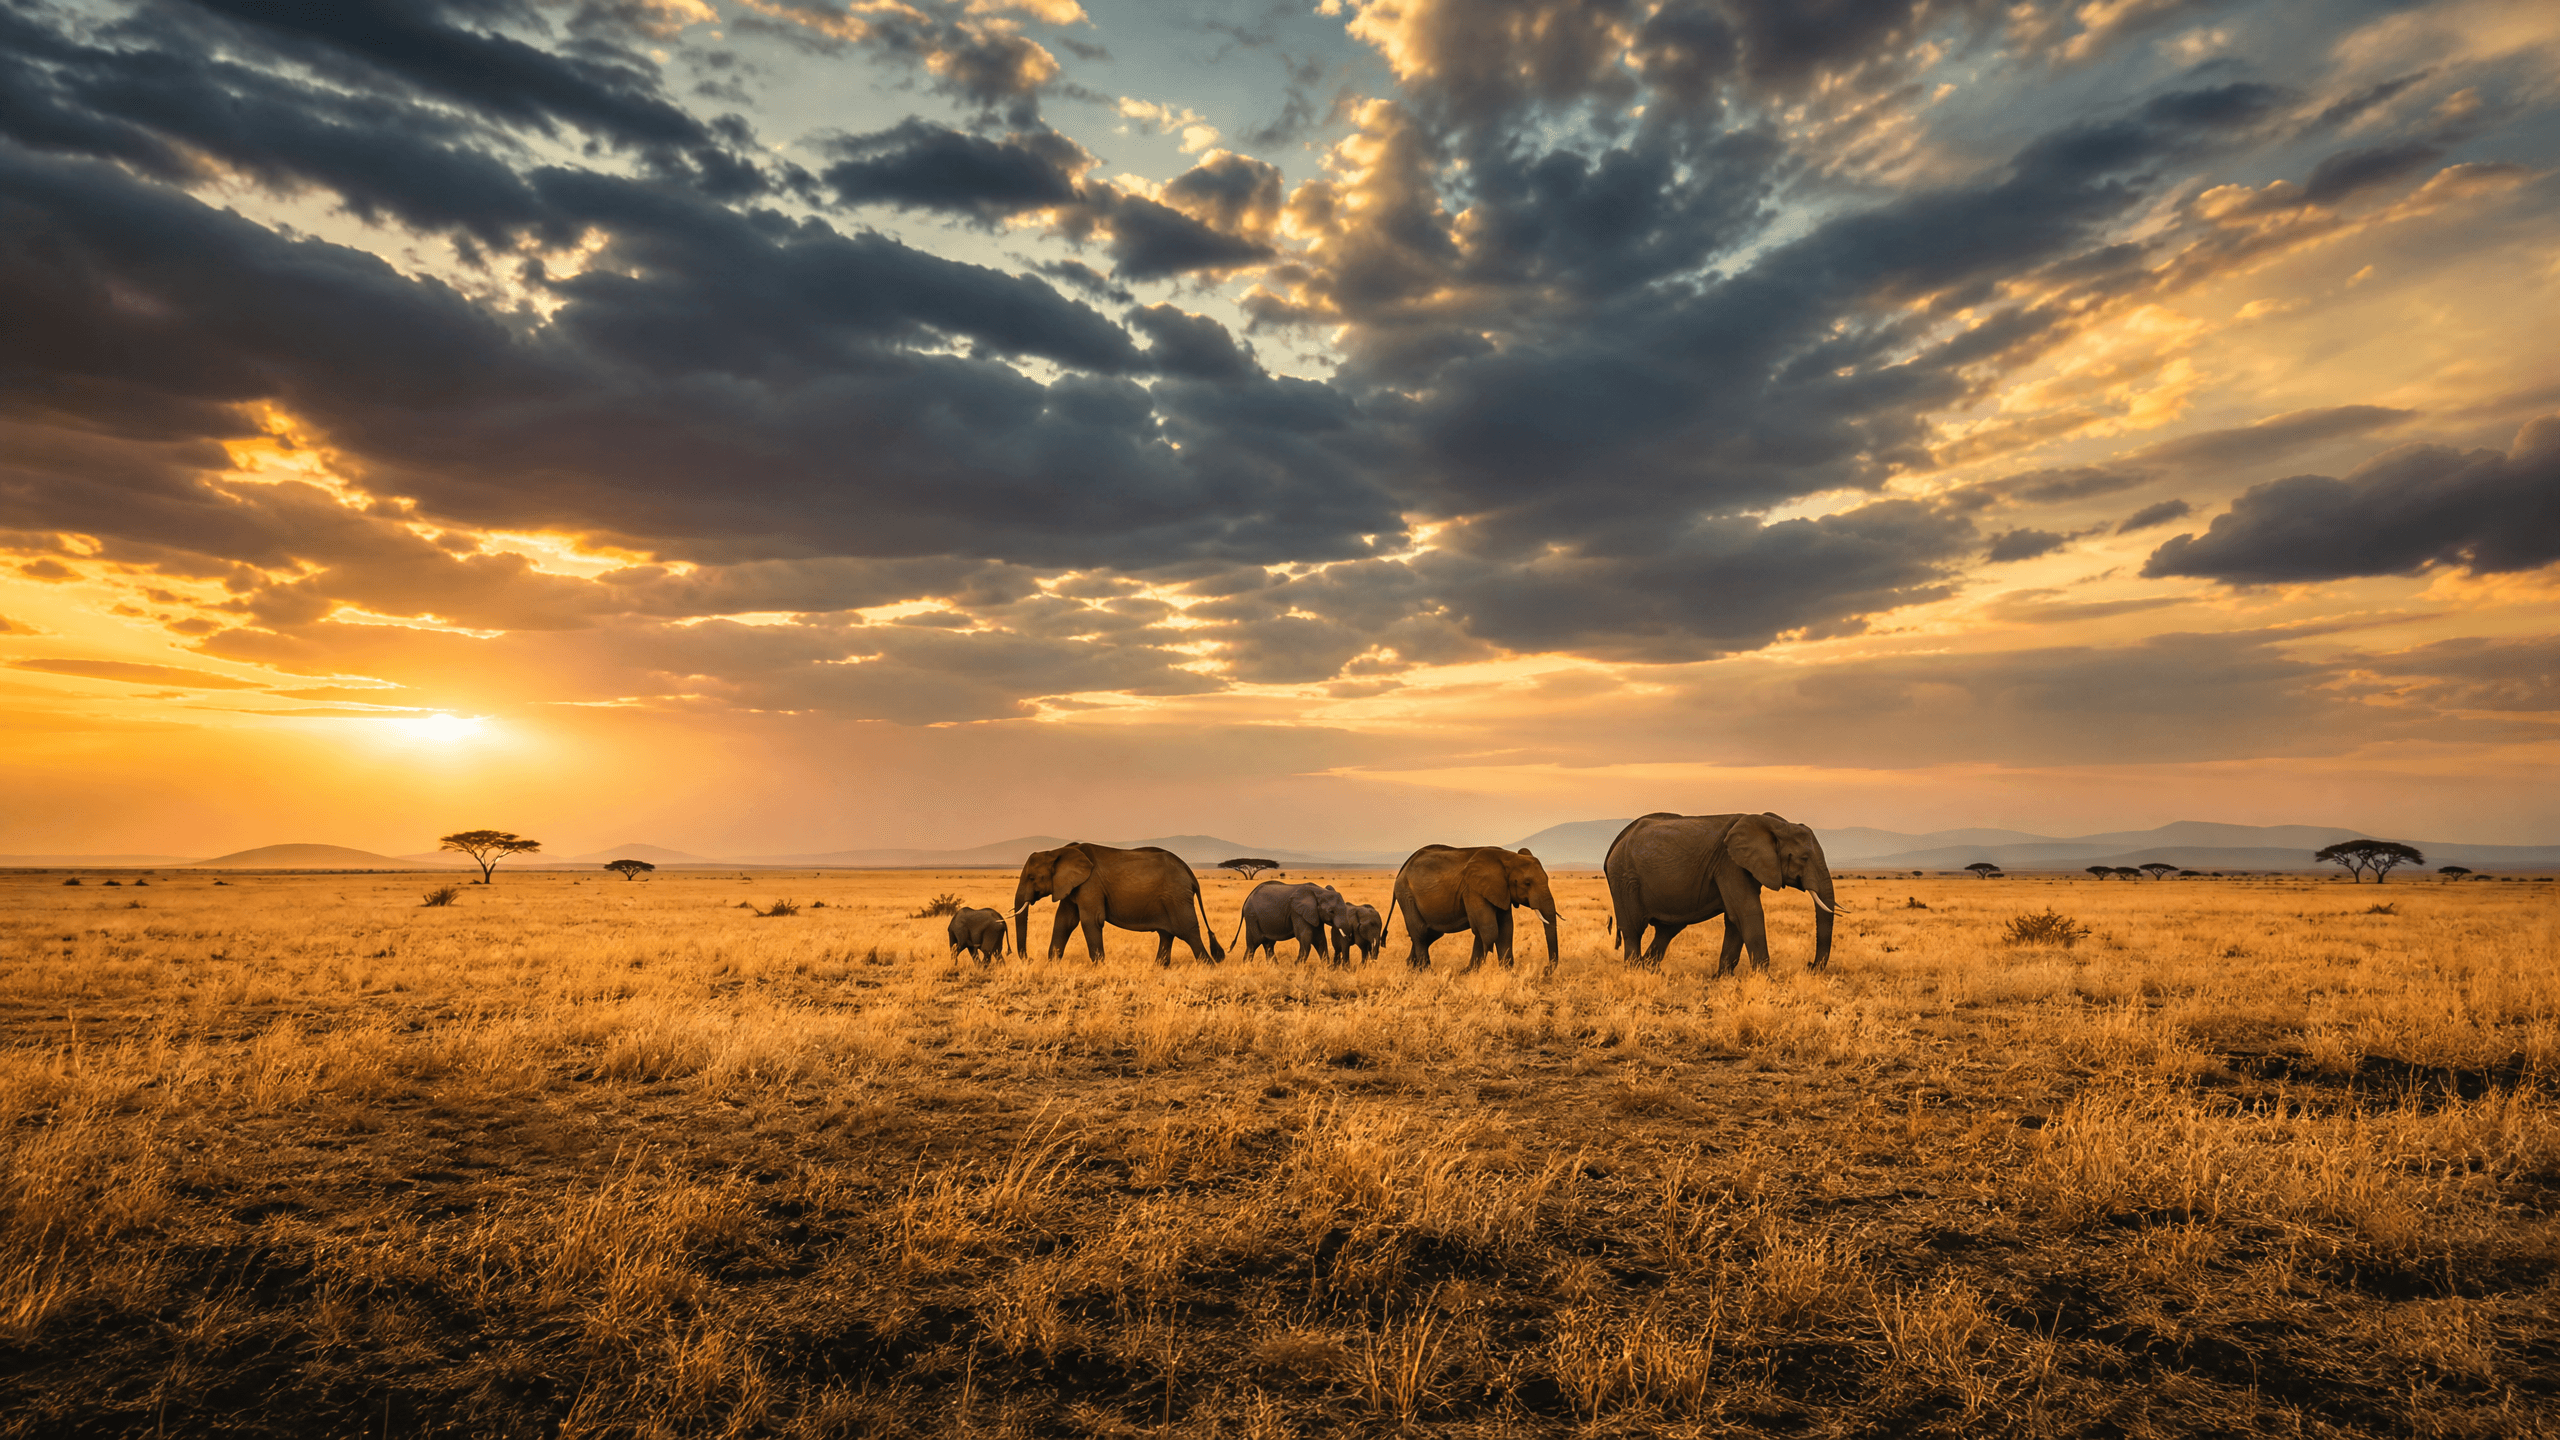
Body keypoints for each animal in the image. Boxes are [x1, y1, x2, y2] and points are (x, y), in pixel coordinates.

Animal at [1012, 842, 1226, 966]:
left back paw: (1208, 967)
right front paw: (1052, 966)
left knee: (1188, 931)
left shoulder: (1090, 883)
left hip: (1176, 896)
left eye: (1032, 878)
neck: (1057, 851)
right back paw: (1158, 968)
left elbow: (1091, 920)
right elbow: (1064, 922)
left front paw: (1099, 967)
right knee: (1167, 934)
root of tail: (1190, 873)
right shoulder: (1071, 886)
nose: (1029, 959)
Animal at [1391, 845, 1559, 974]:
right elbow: (1489, 930)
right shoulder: (1473, 890)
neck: (1508, 857)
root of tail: (1403, 869)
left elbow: (1505, 929)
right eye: (1527, 883)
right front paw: (1468, 973)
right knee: (1420, 932)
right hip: (1406, 894)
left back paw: (1411, 968)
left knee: (1430, 933)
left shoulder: (1501, 891)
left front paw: (1507, 973)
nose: (1545, 970)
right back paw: (1426, 972)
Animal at [1602, 812, 1839, 974]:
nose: (1809, 965)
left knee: (1666, 930)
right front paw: (1765, 979)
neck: (1774, 824)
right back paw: (1635, 972)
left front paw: (1722, 977)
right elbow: (1748, 912)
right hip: (1625, 879)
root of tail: (1617, 840)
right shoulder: (1730, 864)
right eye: (1804, 858)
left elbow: (1735, 919)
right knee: (1633, 929)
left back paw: (1652, 972)